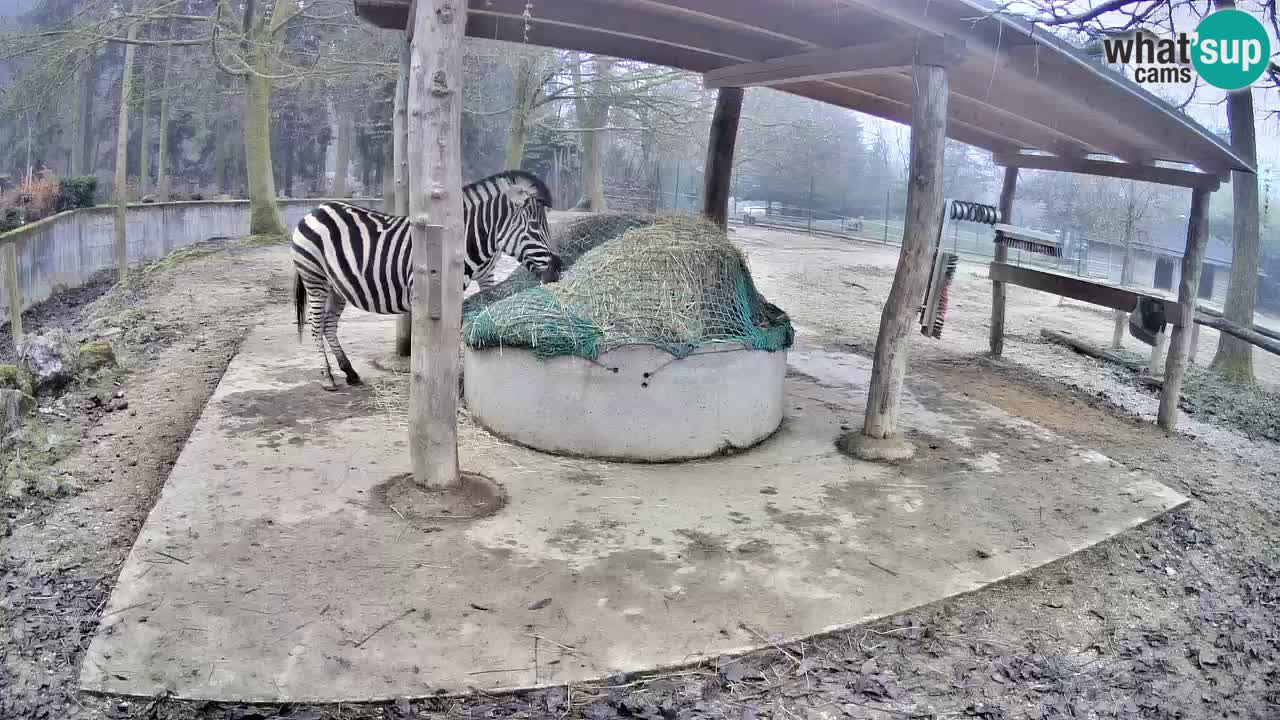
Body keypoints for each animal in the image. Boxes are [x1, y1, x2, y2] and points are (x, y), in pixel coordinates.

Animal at [291, 169, 562, 390]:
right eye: (535, 226)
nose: (558, 270)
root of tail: (314, 210)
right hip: (315, 278)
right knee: (316, 325)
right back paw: (328, 377)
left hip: (337, 287)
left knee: (328, 325)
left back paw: (349, 372)